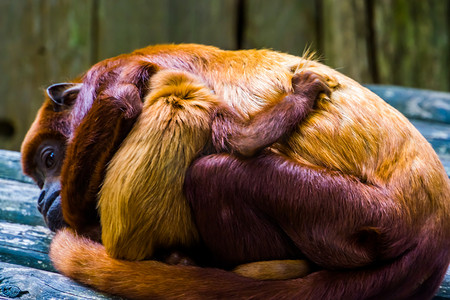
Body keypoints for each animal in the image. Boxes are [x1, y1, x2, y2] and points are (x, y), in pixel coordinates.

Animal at [22, 42, 450, 300]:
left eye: (49, 159)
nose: (41, 198)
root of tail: (432, 233)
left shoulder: (110, 77)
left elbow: (237, 140)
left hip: (361, 218)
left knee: (215, 174)